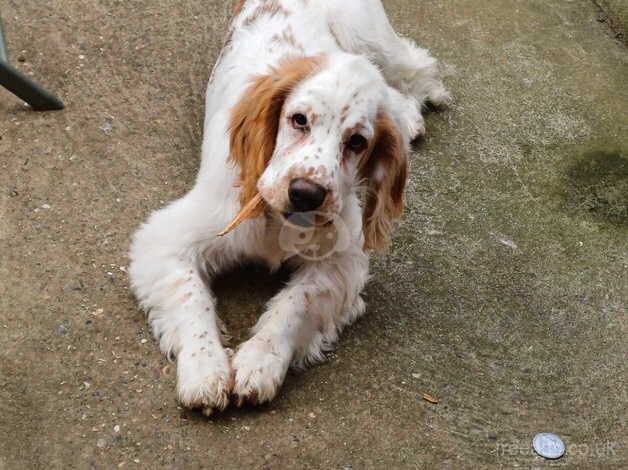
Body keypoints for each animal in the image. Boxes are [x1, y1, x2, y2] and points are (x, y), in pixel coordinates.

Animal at [130, 0, 448, 414]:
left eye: (357, 142)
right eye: (299, 120)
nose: (306, 194)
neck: (276, 221)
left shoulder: (342, 263)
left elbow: (295, 304)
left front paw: (258, 363)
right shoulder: (166, 240)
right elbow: (190, 298)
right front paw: (204, 370)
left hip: (372, 37)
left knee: (414, 65)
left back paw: (410, 112)